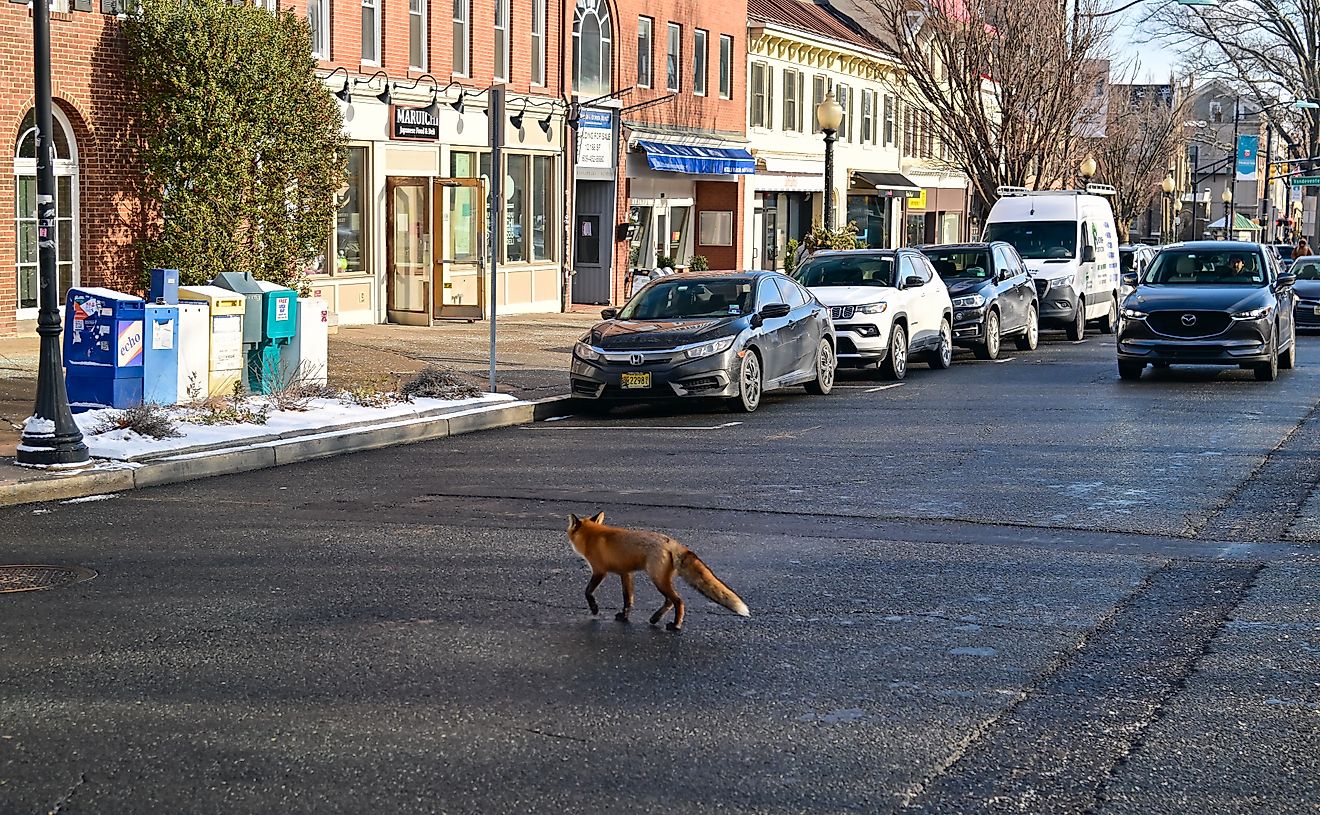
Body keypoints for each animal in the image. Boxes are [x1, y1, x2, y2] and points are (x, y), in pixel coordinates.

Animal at [567, 512, 750, 631]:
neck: (591, 536)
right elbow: (628, 599)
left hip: (657, 579)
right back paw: (656, 618)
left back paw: (676, 626)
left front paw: (595, 609)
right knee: (669, 601)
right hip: (660, 579)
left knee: (678, 601)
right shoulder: (626, 573)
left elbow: (588, 592)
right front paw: (624, 617)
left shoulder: (599, 571)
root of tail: (671, 541)